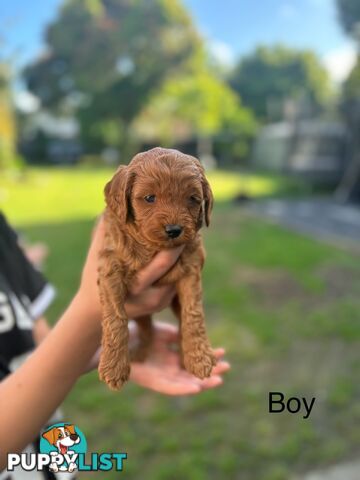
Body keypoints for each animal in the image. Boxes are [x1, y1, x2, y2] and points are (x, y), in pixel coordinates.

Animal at [98, 146, 215, 390]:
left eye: (192, 199)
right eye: (149, 198)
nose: (174, 230)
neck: (152, 247)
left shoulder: (191, 269)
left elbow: (193, 315)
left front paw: (199, 358)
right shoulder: (110, 267)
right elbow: (115, 317)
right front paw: (114, 367)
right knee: (146, 328)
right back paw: (141, 353)